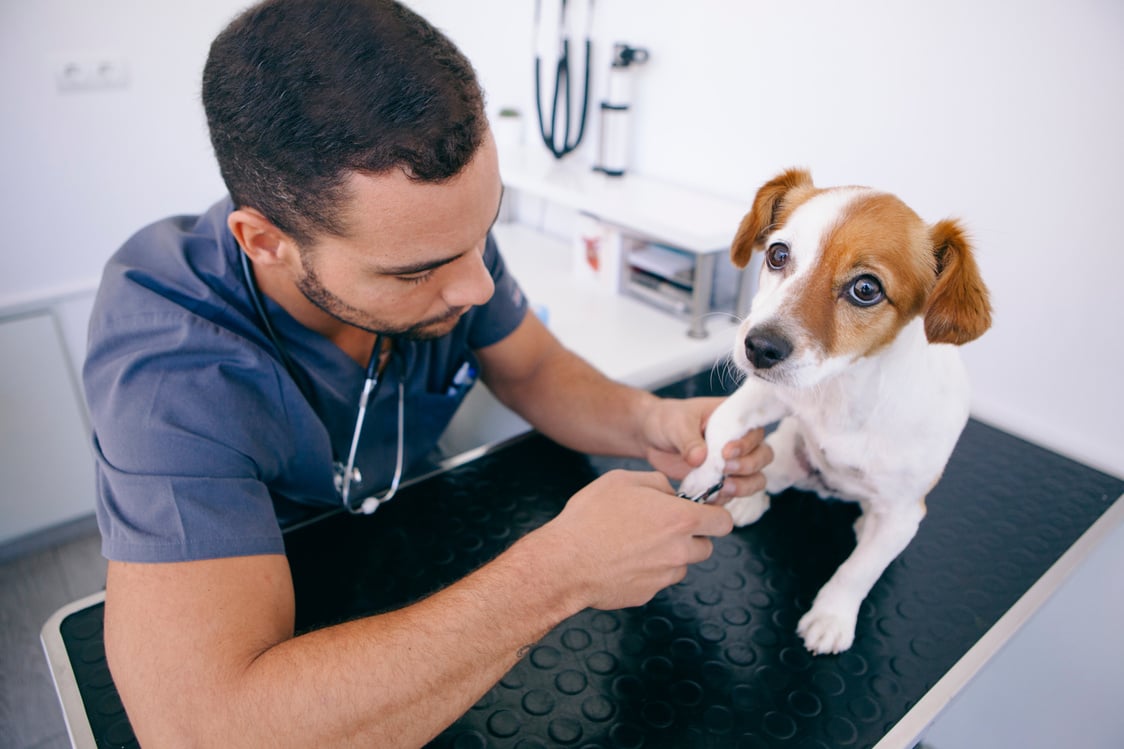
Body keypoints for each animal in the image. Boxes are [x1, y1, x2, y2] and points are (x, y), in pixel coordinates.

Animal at [674, 166, 993, 652]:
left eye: (866, 289)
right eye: (778, 254)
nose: (758, 347)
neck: (844, 389)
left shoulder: (903, 514)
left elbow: (857, 572)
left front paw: (832, 617)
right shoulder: (766, 396)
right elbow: (722, 428)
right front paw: (703, 477)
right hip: (787, 455)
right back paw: (749, 498)